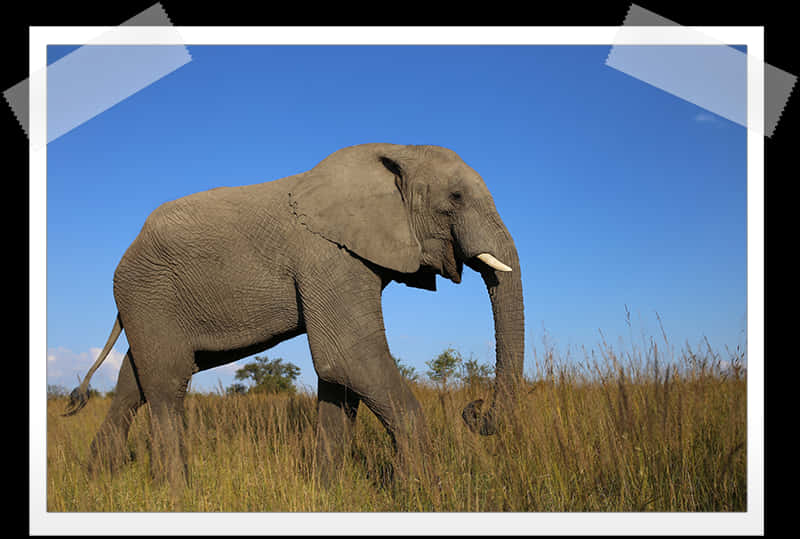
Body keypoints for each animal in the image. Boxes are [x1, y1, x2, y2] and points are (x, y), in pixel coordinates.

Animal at [64, 143, 524, 490]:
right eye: (456, 199)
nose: (474, 409)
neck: (397, 152)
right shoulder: (326, 255)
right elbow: (348, 358)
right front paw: (421, 493)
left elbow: (341, 378)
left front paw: (327, 492)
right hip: (147, 293)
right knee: (167, 382)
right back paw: (177, 492)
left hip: (150, 302)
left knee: (134, 380)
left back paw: (96, 479)